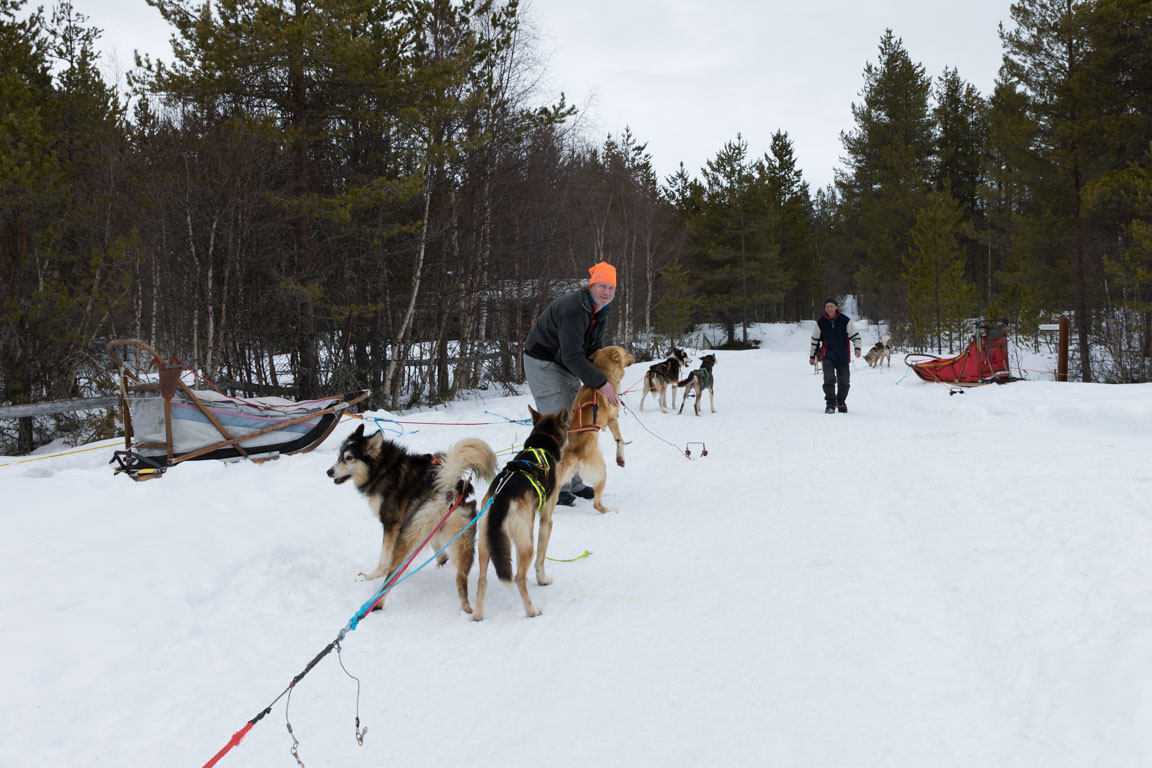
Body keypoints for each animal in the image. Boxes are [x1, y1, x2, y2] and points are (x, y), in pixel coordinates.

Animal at [329, 423, 499, 617]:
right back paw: (467, 609)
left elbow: (384, 558)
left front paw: (373, 575)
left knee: (391, 576)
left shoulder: (392, 524)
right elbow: (435, 543)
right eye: (339, 456)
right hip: (462, 539)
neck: (384, 468)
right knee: (461, 579)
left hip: (408, 537)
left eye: (349, 458)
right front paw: (442, 558)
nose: (329, 471)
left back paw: (376, 603)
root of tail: (448, 488)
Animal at [470, 405, 569, 621]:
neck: (541, 444)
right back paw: (531, 610)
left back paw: (478, 614)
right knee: (518, 577)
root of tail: (500, 499)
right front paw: (542, 579)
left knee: (482, 579)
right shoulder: (545, 521)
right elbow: (541, 560)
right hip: (527, 542)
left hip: (486, 544)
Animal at [546, 343, 631, 513]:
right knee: (596, 504)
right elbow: (620, 440)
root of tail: (573, 455)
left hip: (558, 487)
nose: (633, 355)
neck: (605, 374)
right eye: (625, 352)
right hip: (602, 473)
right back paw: (610, 511)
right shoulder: (613, 419)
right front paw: (620, 458)